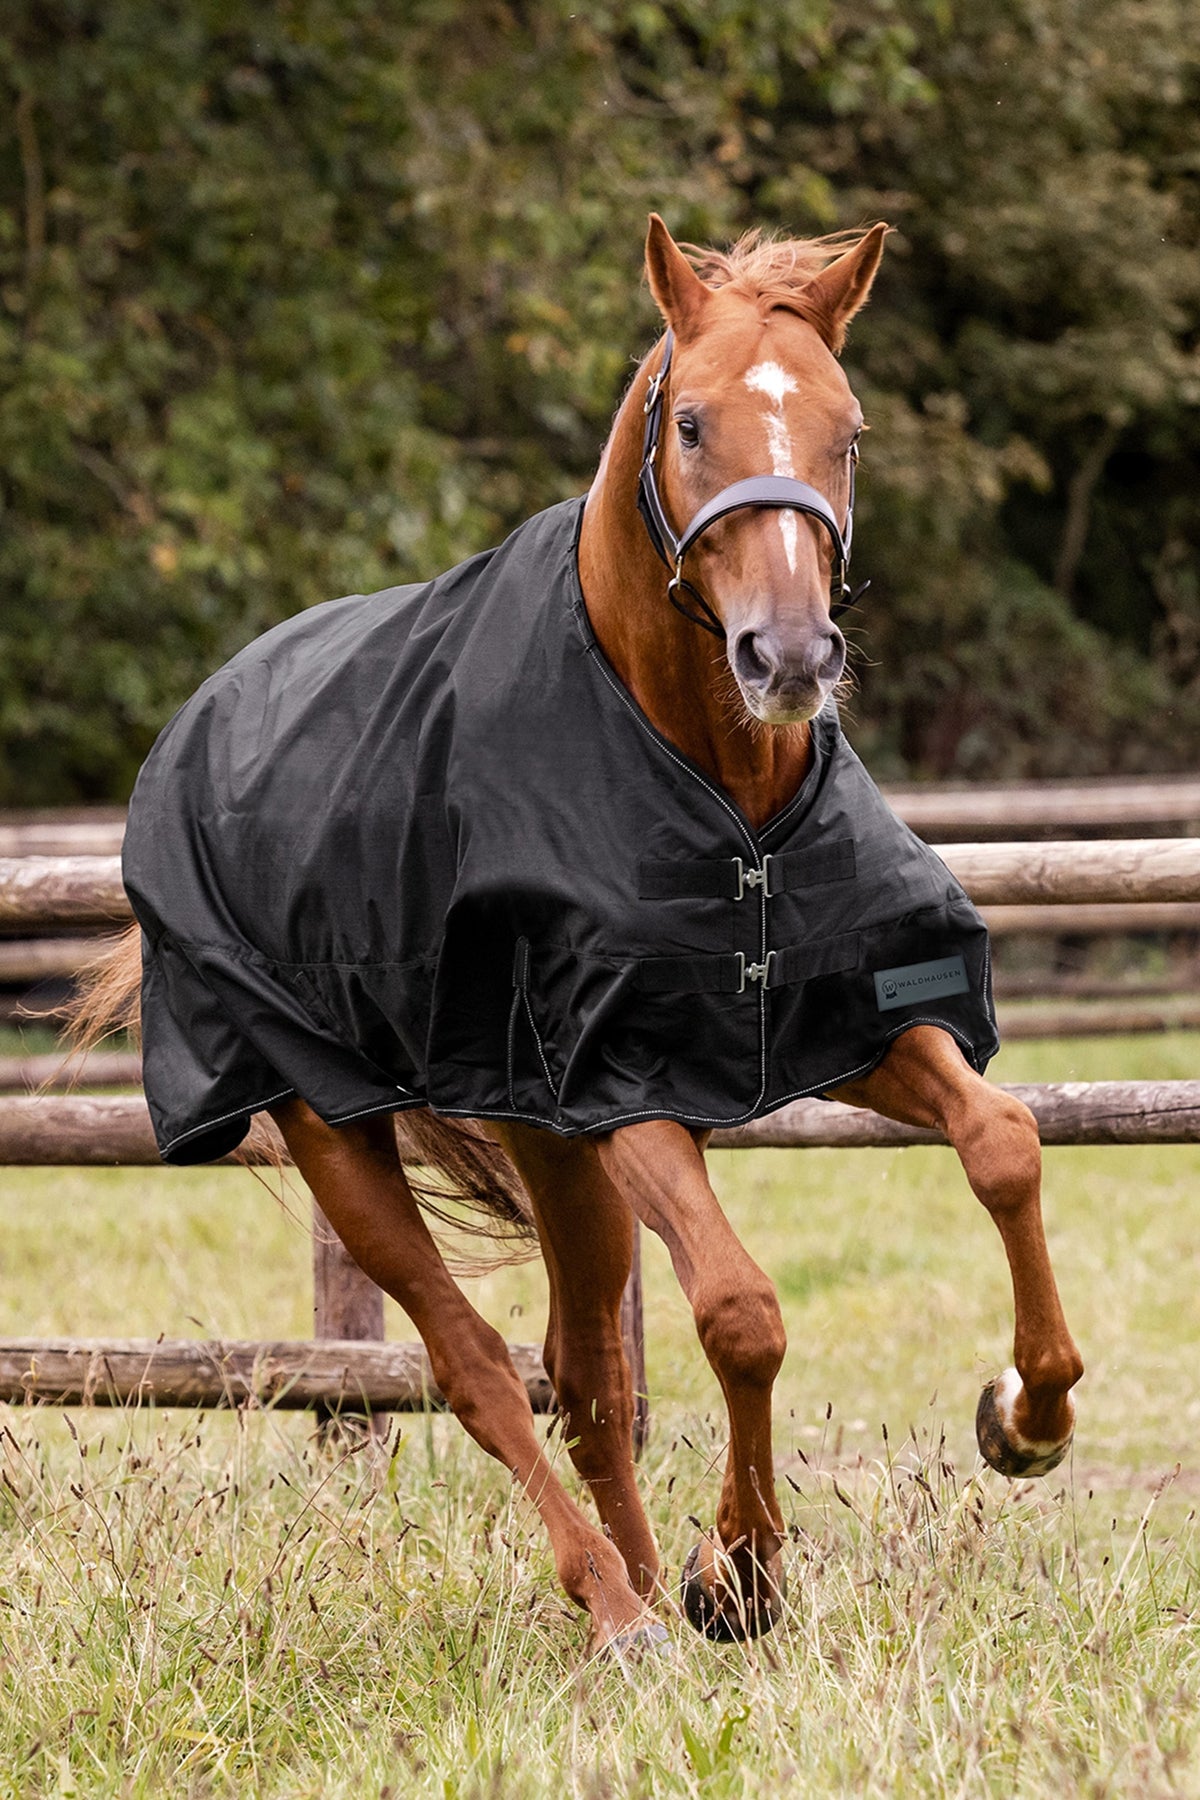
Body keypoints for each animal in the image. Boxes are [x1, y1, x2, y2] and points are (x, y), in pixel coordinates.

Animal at [72, 215, 1083, 1658]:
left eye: (848, 430)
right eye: (694, 423)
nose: (789, 656)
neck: (723, 794)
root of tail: (200, 720)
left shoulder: (847, 1024)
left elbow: (1002, 1142)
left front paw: (1025, 1419)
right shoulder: (624, 1087)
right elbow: (740, 1312)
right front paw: (747, 1571)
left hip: (549, 1150)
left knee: (585, 1369)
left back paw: (652, 1596)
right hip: (345, 1135)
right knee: (481, 1368)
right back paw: (617, 1603)